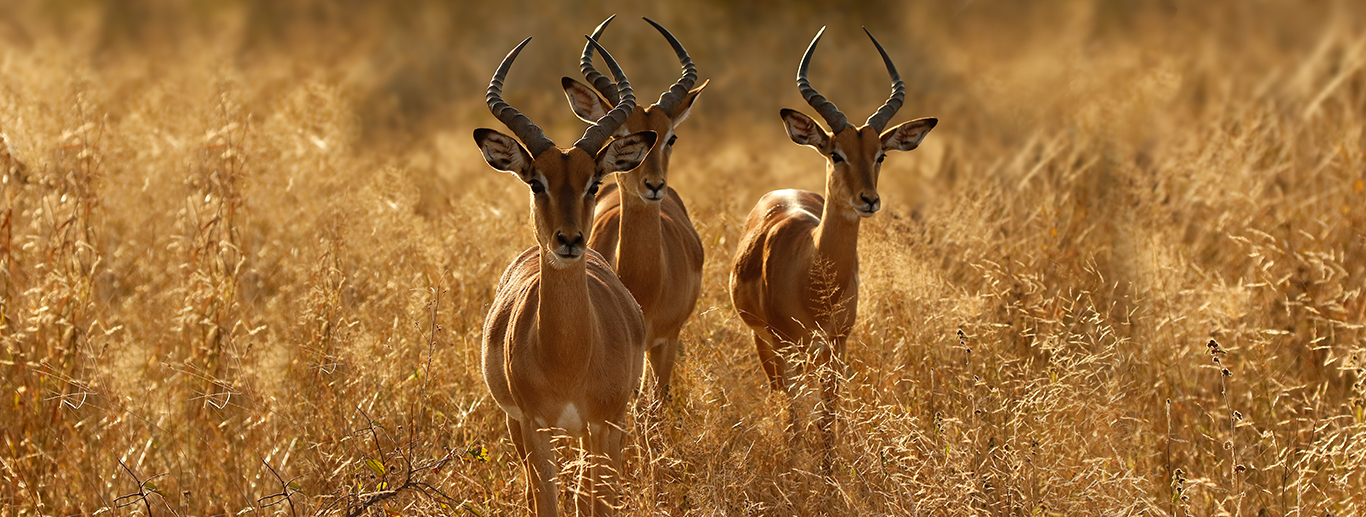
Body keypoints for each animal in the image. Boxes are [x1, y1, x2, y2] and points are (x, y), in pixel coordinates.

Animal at [475, 34, 655, 514]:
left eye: (594, 182)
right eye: (536, 181)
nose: (569, 240)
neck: (568, 359)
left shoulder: (604, 424)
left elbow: (596, 503)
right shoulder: (534, 426)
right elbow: (548, 502)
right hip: (523, 428)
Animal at [726, 27, 939, 456]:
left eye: (880, 155)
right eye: (836, 153)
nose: (869, 199)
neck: (811, 276)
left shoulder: (838, 346)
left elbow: (827, 421)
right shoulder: (786, 347)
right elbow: (795, 420)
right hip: (767, 346)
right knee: (781, 401)